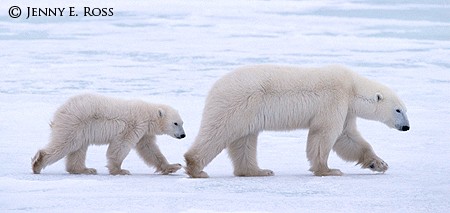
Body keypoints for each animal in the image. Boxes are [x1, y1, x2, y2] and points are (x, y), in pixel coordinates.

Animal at [185, 64, 410, 177]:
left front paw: (379, 163)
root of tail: (215, 87)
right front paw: (329, 170)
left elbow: (348, 138)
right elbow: (324, 134)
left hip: (247, 114)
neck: (352, 87)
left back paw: (258, 171)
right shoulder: (334, 100)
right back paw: (196, 168)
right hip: (238, 103)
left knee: (244, 141)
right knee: (217, 132)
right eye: (398, 110)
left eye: (406, 110)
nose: (406, 127)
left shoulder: (346, 110)